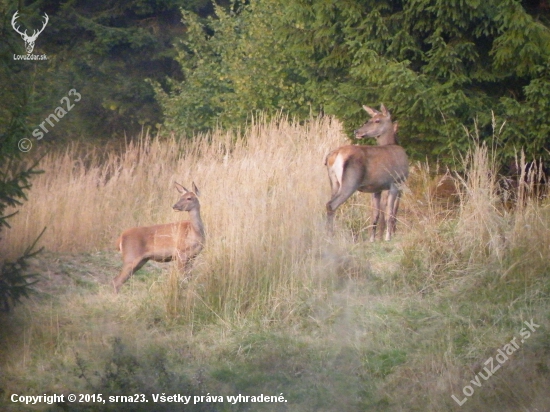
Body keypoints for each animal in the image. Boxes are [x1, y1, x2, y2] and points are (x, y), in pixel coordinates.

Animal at [328, 103, 410, 243]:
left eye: (377, 120)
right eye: (369, 119)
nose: (357, 131)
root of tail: (334, 156)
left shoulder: (376, 188)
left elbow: (375, 214)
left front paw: (372, 239)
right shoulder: (395, 182)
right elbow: (390, 213)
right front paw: (388, 237)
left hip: (334, 182)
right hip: (350, 181)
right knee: (331, 204)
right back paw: (329, 235)